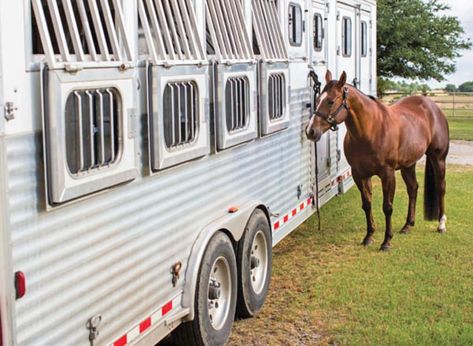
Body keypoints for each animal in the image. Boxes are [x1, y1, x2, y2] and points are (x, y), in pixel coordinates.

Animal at [306, 70, 450, 250]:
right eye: (318, 100)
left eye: (331, 101)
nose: (310, 131)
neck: (371, 130)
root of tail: (433, 107)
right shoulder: (359, 174)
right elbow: (367, 204)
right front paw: (368, 236)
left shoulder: (387, 174)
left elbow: (387, 207)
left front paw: (386, 241)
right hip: (408, 165)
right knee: (413, 189)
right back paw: (407, 225)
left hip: (438, 159)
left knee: (441, 187)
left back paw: (441, 225)